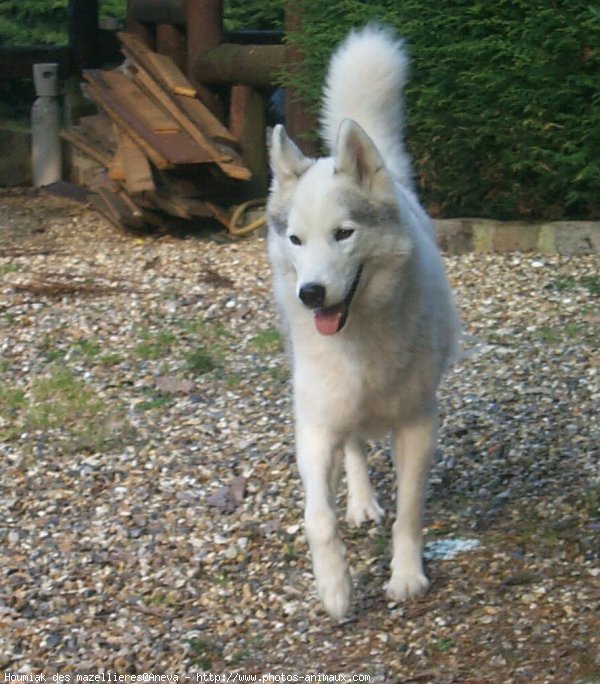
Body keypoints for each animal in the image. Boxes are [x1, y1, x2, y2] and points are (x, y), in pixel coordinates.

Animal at [264, 25, 458, 620]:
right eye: (296, 239)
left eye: (344, 234)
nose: (310, 294)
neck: (360, 337)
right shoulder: (314, 425)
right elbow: (318, 518)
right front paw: (335, 587)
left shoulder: (418, 425)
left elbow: (411, 513)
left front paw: (406, 577)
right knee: (351, 449)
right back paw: (362, 500)